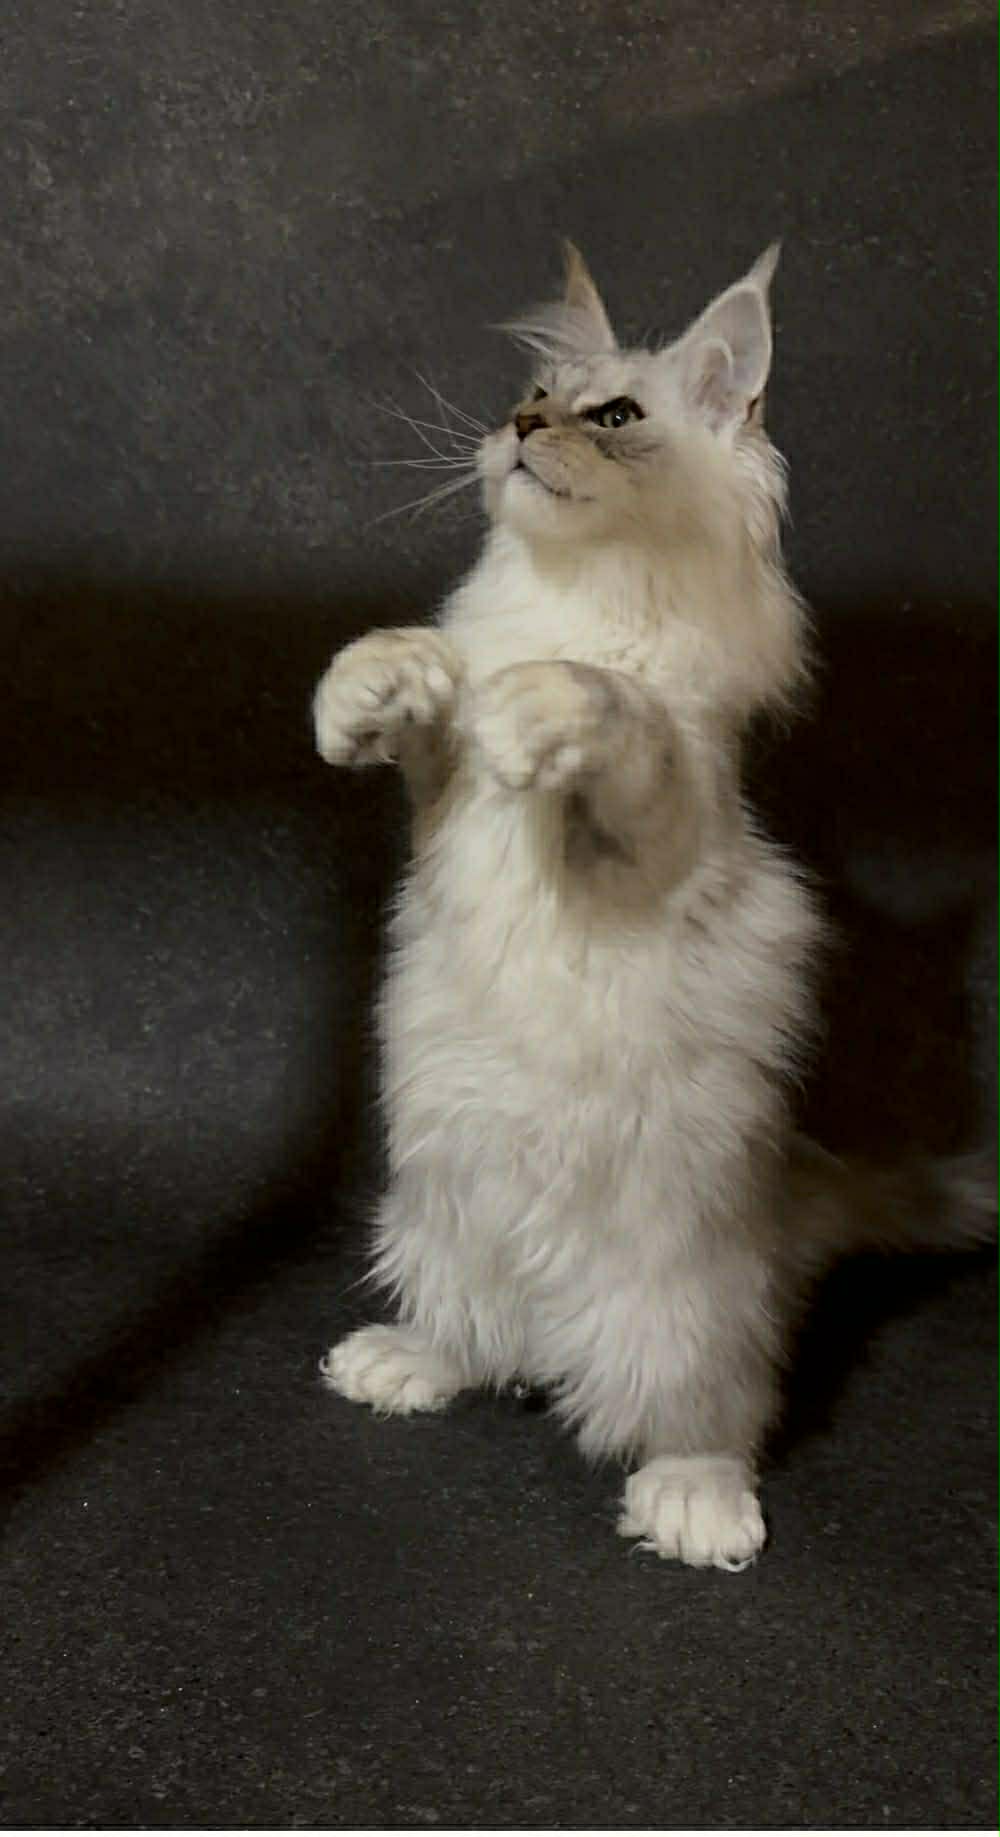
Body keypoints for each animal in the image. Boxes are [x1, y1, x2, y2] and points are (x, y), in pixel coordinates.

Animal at [312, 243, 992, 1569]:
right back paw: (404, 1362)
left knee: (710, 1418)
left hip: (685, 1315)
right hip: (437, 1224)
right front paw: (377, 685)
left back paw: (694, 1509)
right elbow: (419, 701)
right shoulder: (440, 805)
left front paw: (540, 703)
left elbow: (610, 710)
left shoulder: (660, 823)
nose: (523, 429)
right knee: (477, 1342)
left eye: (614, 418)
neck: (576, 594)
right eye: (531, 395)